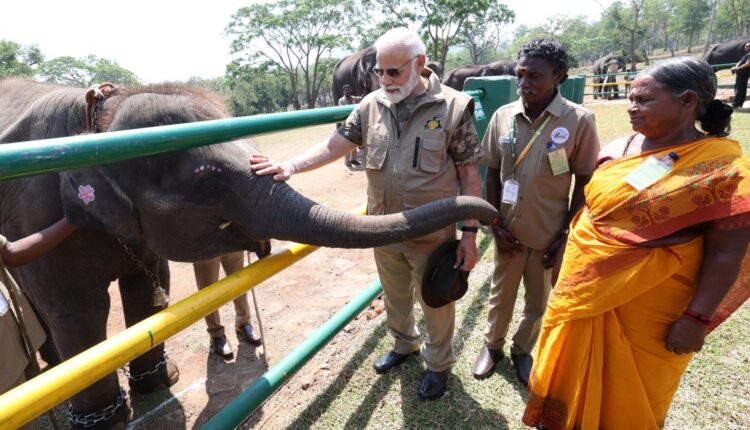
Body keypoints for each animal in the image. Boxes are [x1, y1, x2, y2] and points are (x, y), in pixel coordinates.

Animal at [0, 78, 500, 430]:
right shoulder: (36, 216)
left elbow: (147, 288)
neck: (99, 120)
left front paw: (162, 382)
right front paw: (106, 421)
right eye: (209, 185)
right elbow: (77, 308)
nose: (491, 214)